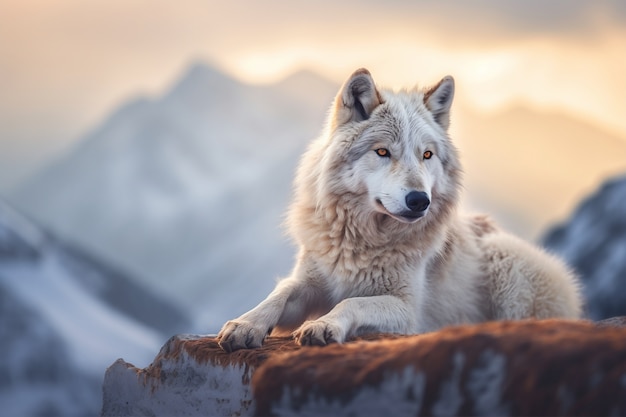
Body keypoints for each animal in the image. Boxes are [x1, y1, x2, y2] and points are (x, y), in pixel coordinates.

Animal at [217, 68, 584, 352]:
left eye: (426, 155)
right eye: (382, 152)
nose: (420, 200)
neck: (361, 242)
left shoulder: (407, 310)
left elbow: (352, 301)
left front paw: (324, 325)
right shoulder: (310, 281)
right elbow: (279, 294)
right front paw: (245, 325)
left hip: (505, 258)